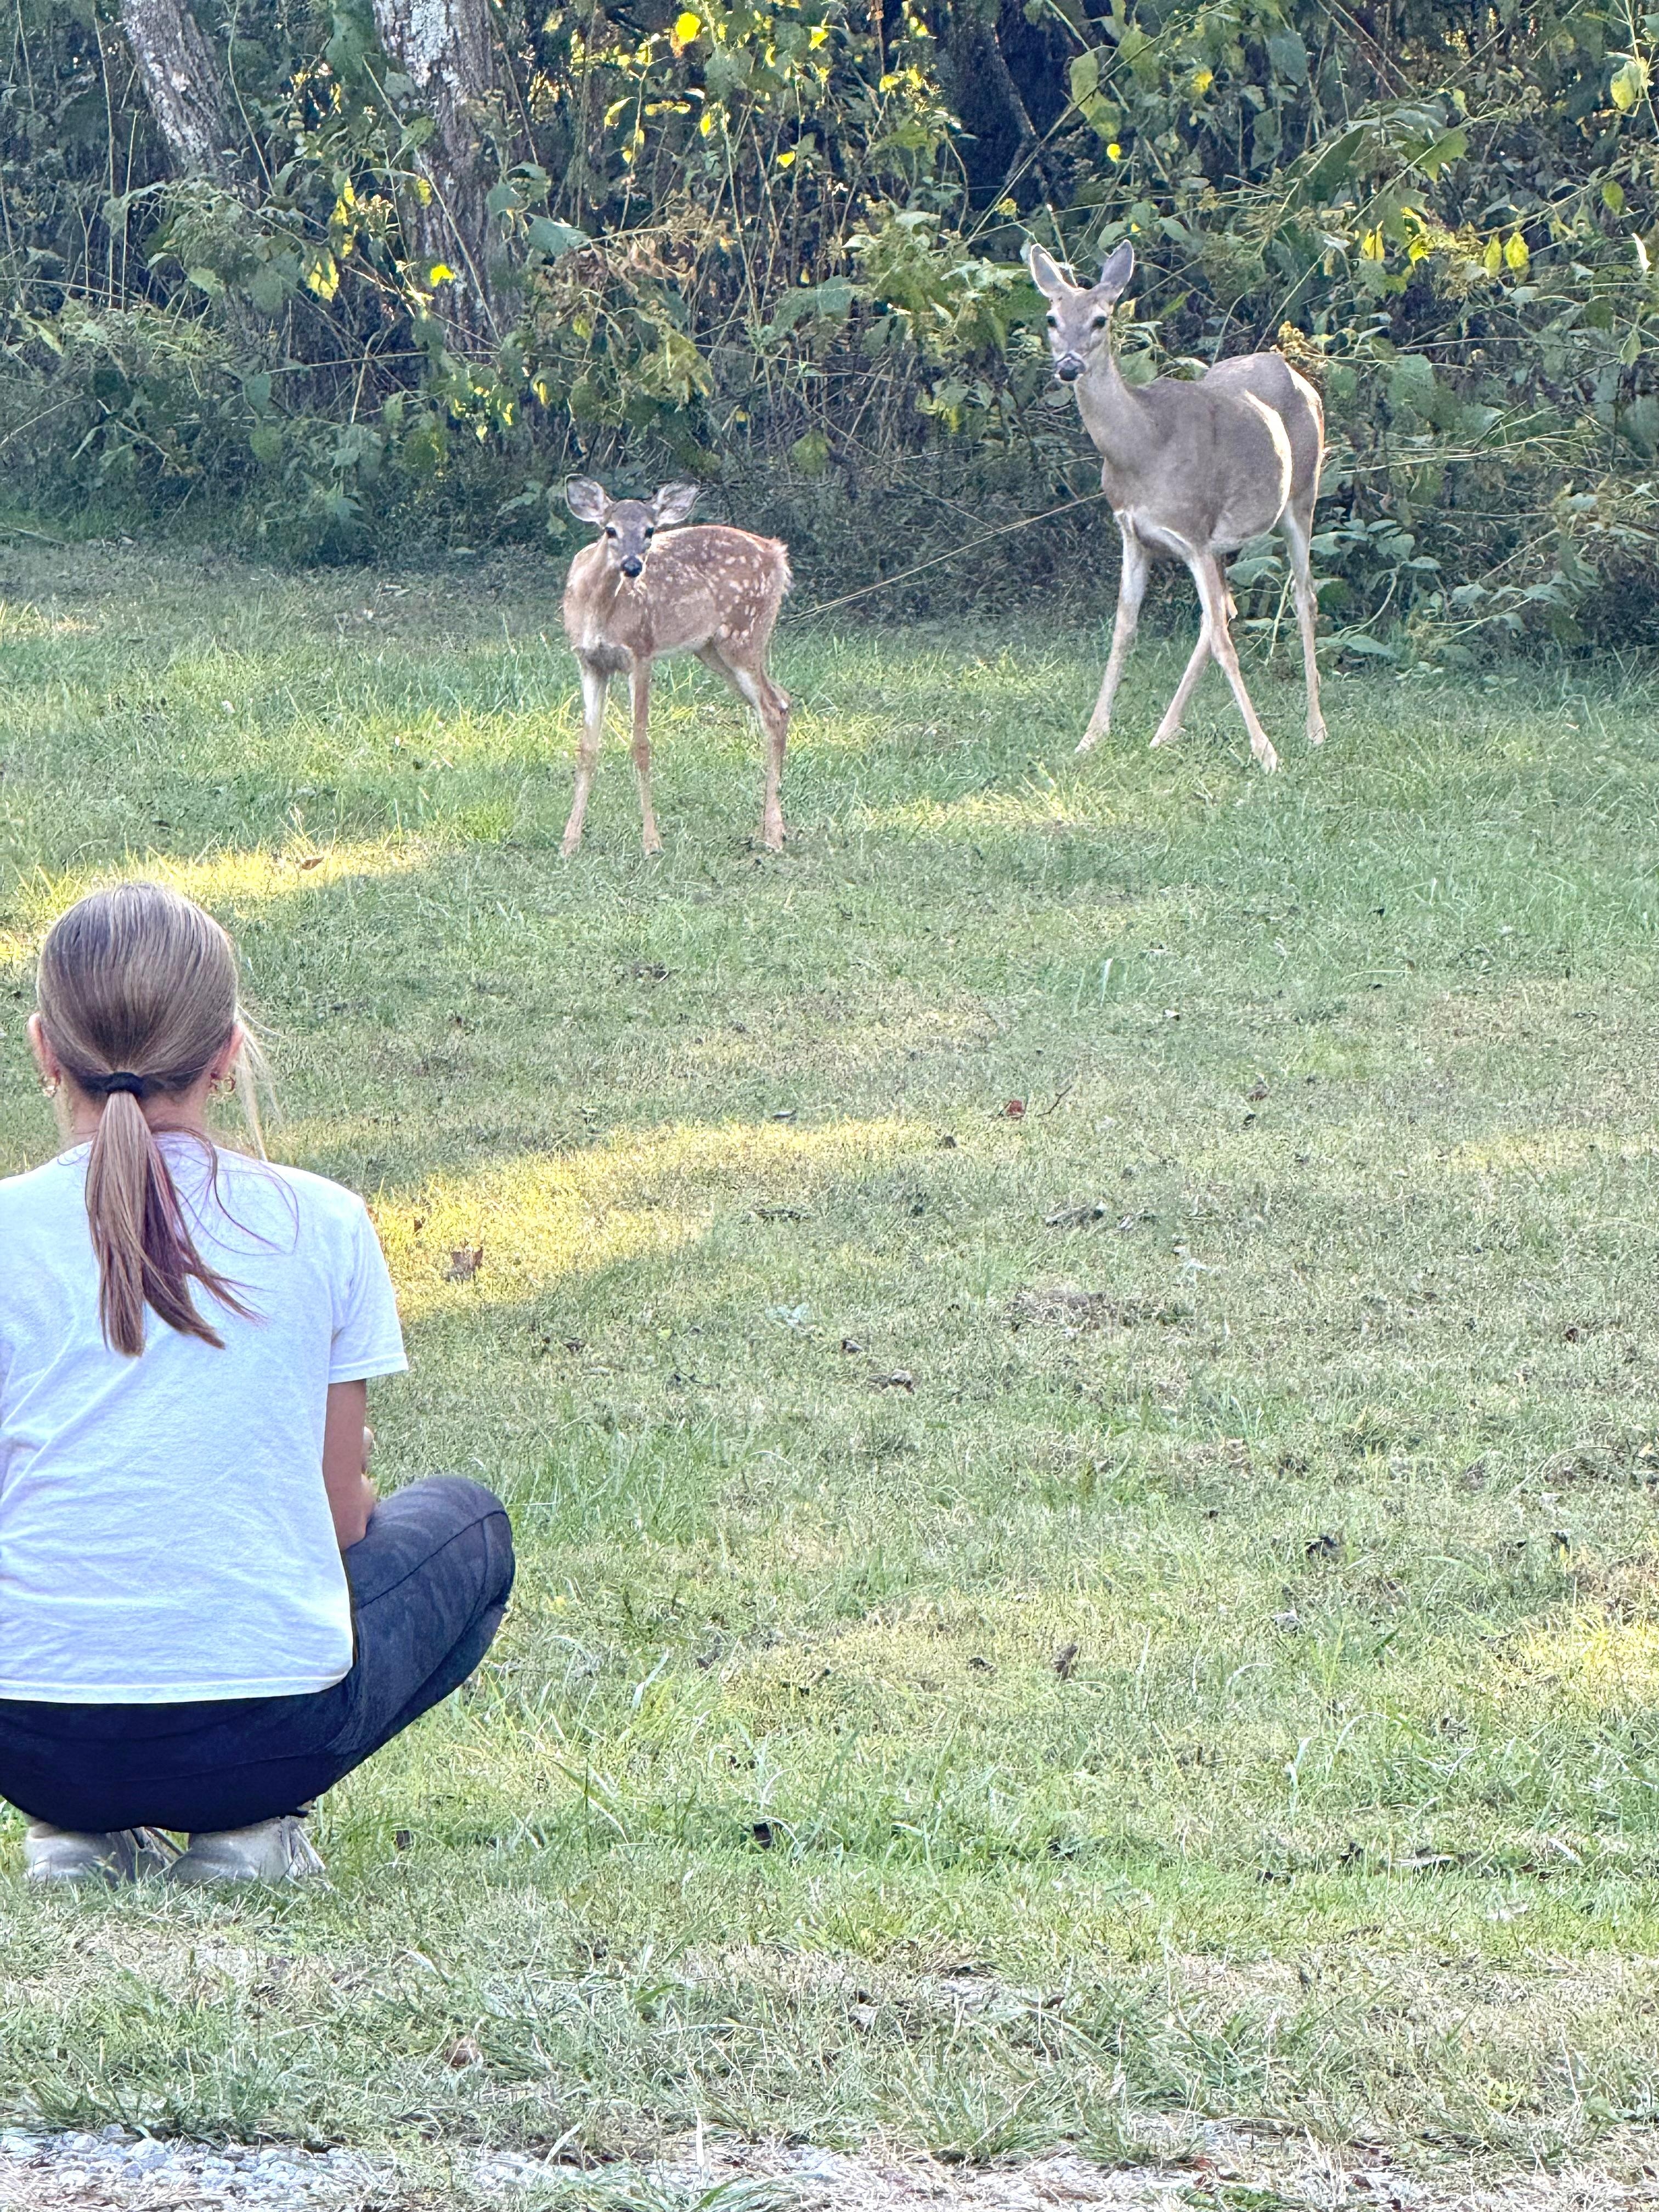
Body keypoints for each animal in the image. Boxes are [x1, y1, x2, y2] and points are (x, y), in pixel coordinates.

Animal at [559, 479, 793, 856]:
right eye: (610, 530)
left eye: (650, 531)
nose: (633, 567)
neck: (598, 611)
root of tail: (777, 554)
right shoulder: (589, 662)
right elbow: (587, 749)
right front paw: (570, 841)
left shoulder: (642, 652)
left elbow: (640, 745)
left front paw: (652, 842)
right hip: (711, 649)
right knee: (782, 700)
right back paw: (775, 828)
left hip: (744, 635)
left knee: (771, 709)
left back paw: (772, 834)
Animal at [1026, 239, 1326, 773]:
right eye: (1051, 317)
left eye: (1101, 319)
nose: (1068, 367)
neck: (1144, 447)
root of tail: (1299, 376)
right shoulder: (1135, 534)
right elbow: (1124, 630)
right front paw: (1091, 737)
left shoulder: (1192, 532)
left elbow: (1227, 644)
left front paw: (1266, 752)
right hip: (1225, 540)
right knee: (1223, 610)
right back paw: (1165, 731)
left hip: (1302, 495)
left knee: (1302, 599)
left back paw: (1315, 729)